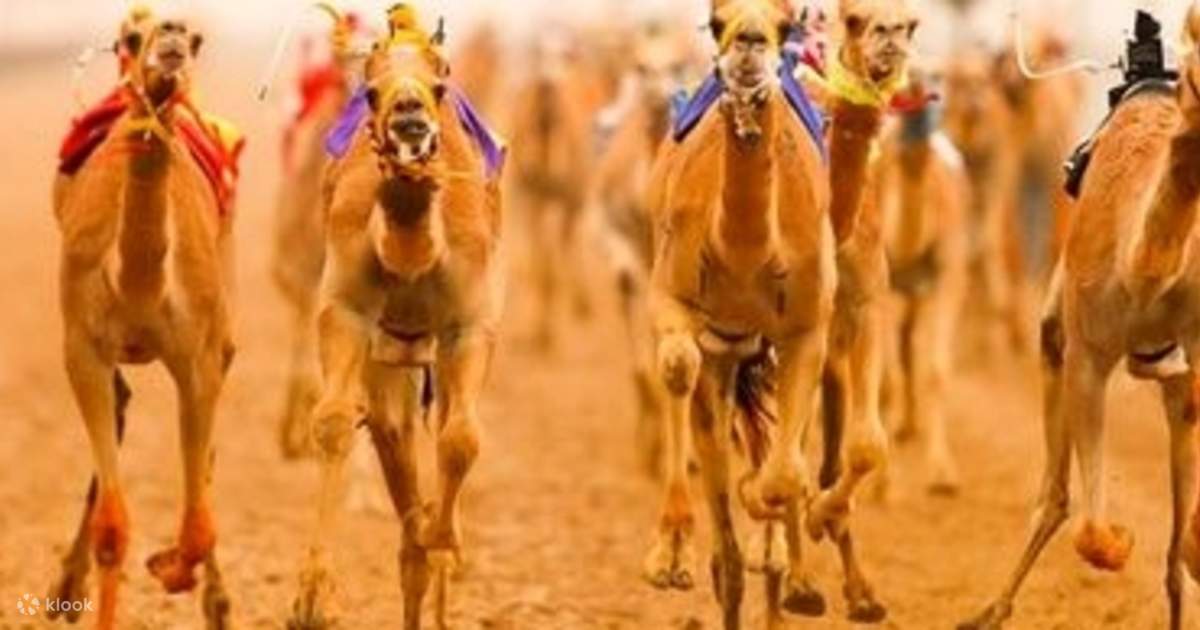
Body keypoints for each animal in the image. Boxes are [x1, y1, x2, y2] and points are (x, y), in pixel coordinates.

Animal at [48, 11, 236, 630]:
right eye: (131, 38)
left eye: (197, 38)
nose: (171, 34)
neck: (136, 283)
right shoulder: (82, 347)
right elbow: (113, 526)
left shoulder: (198, 357)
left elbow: (200, 524)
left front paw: (172, 568)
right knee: (123, 400)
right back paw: (64, 587)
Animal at [288, 7, 504, 630]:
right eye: (371, 89)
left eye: (440, 82)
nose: (409, 114)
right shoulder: (345, 308)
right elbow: (334, 421)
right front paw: (313, 598)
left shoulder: (469, 324)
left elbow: (461, 440)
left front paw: (447, 536)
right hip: (391, 362)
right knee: (391, 438)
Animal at [641, 0, 917, 626]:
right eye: (715, 21)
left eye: (910, 23)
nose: (889, 34)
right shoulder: (679, 302)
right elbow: (680, 372)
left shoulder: (849, 307)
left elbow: (851, 449)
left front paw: (813, 548)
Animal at [960, 6, 1200, 630]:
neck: (1144, 269)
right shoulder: (1088, 352)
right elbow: (1090, 530)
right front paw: (1122, 540)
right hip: (1060, 333)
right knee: (1055, 497)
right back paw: (989, 610)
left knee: (1173, 554)